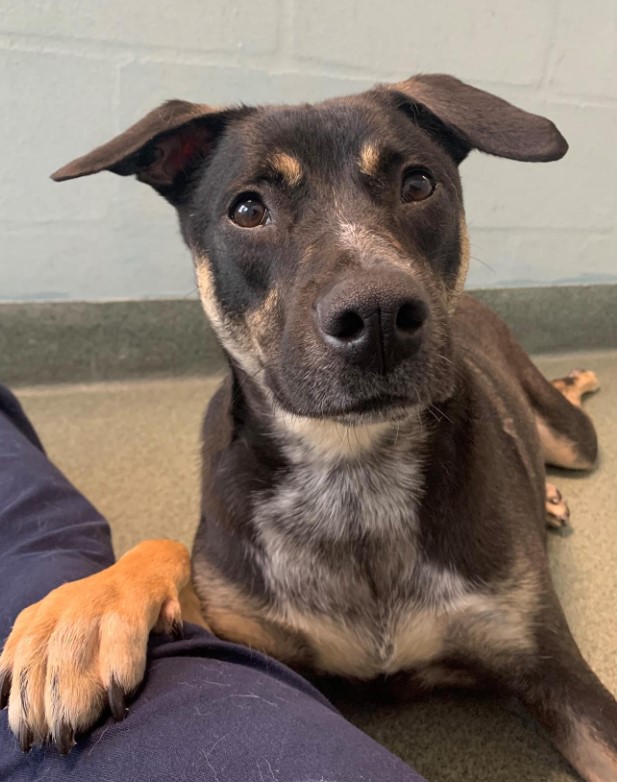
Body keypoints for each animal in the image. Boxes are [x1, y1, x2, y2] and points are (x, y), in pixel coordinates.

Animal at [1, 75, 616, 782]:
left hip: (571, 436)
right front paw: (79, 618)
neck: (352, 470)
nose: (378, 314)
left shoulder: (556, 671)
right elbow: (173, 549)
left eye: (418, 183)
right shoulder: (253, 639)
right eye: (247, 209)